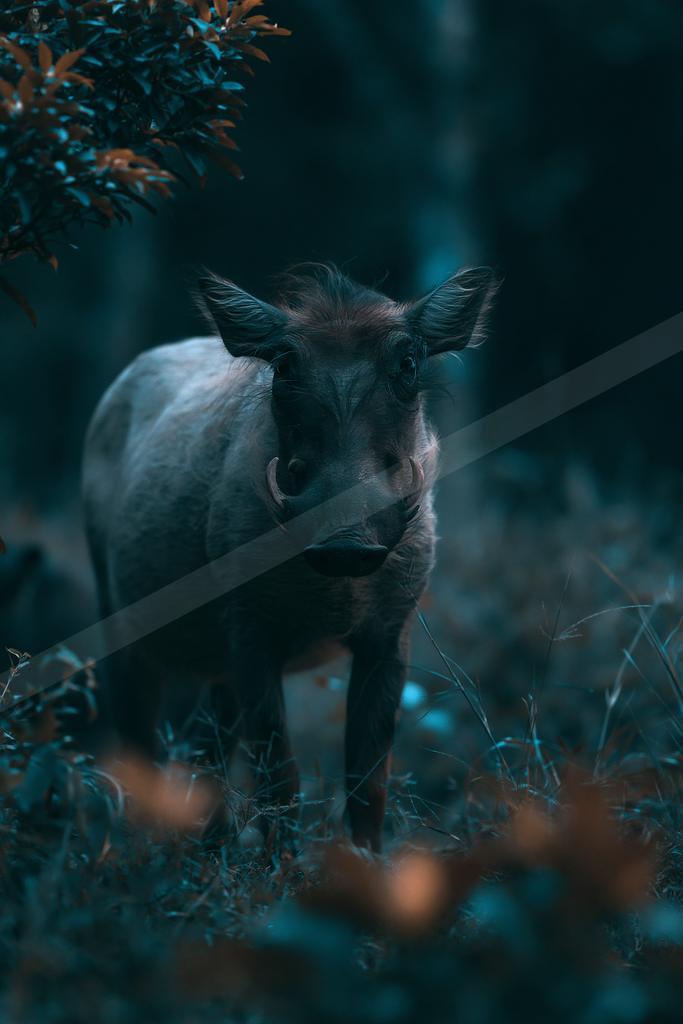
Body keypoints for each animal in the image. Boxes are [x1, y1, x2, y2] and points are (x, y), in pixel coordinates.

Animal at [82, 264, 496, 851]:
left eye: (408, 362)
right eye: (284, 365)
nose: (345, 542)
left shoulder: (389, 637)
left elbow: (368, 779)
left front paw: (364, 864)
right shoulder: (250, 633)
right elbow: (280, 774)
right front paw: (280, 869)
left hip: (214, 666)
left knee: (207, 749)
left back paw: (210, 849)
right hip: (121, 623)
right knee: (137, 741)